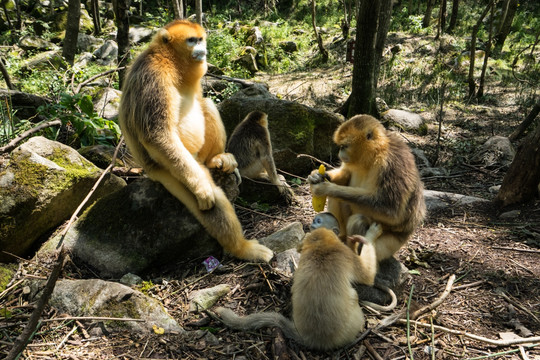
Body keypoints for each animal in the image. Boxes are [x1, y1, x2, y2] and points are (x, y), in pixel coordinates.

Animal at [116, 19, 272, 262]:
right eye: (192, 40)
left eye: (201, 39)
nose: (203, 50)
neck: (171, 62)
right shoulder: (153, 74)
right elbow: (157, 135)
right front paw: (201, 189)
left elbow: (201, 100)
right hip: (172, 169)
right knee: (211, 197)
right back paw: (241, 248)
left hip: (195, 157)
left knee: (206, 103)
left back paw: (216, 159)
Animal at [213, 225, 382, 352]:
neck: (321, 246)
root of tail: (312, 339)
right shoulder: (346, 255)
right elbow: (368, 276)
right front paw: (368, 237)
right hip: (355, 317)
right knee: (354, 295)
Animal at [308, 114, 426, 262]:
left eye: (344, 146)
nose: (340, 151)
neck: (375, 153)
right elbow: (345, 175)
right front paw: (316, 176)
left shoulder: (391, 162)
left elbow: (391, 210)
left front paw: (326, 188)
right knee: (338, 200)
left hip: (387, 246)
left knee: (358, 220)